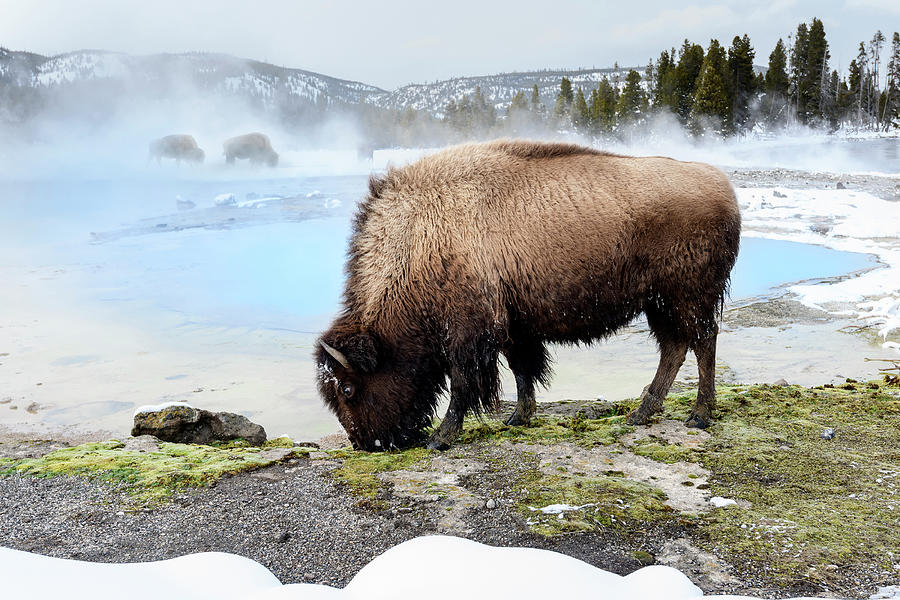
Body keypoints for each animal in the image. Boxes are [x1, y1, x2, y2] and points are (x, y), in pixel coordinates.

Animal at [314, 141, 740, 450]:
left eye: (348, 389)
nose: (364, 444)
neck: (418, 240)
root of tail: (722, 186)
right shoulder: (513, 328)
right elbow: (522, 370)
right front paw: (518, 418)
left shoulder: (468, 335)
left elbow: (463, 385)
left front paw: (442, 438)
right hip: (660, 304)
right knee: (675, 348)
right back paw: (641, 413)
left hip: (688, 298)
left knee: (703, 344)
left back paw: (699, 415)